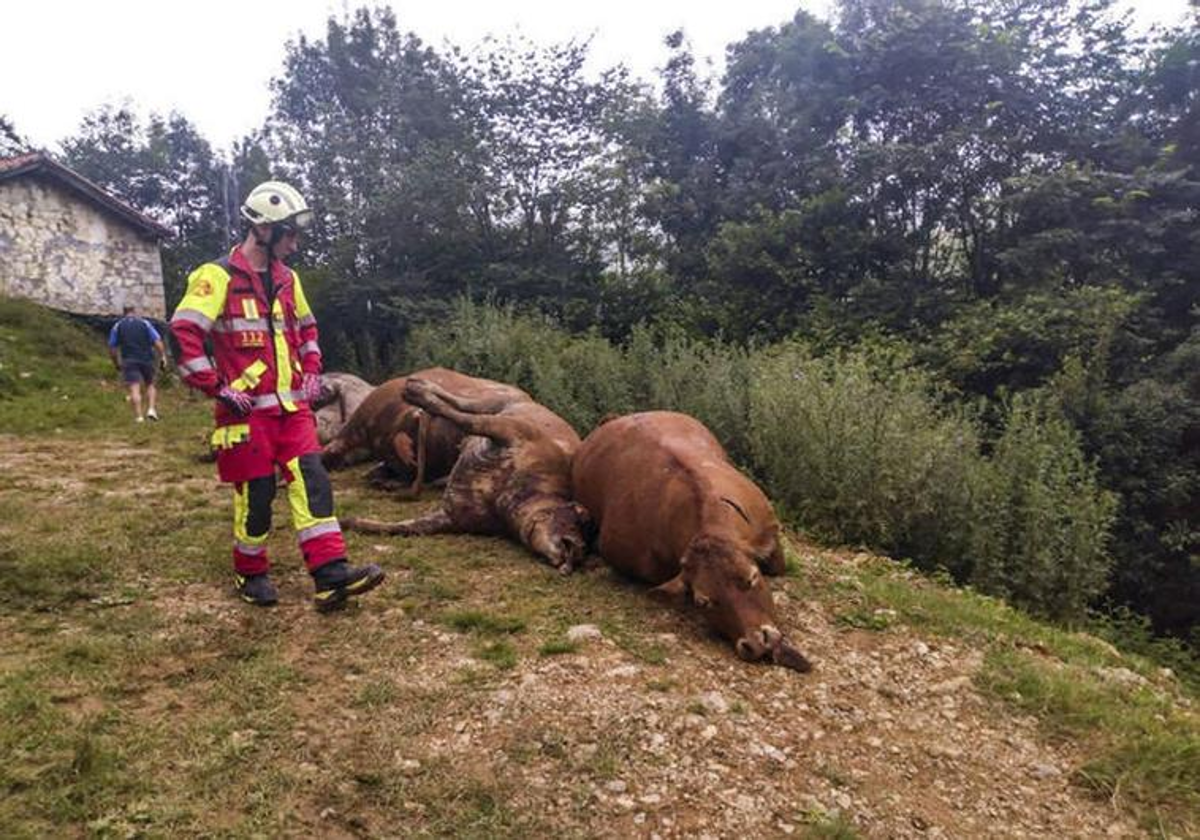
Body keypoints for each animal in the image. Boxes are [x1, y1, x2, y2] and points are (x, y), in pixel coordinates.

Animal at [340, 372, 588, 571]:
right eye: (577, 522)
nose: (577, 553)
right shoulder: (508, 430)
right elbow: (468, 421)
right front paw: (424, 397)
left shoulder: (449, 517)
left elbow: (397, 527)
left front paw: (349, 522)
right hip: (494, 402)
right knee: (460, 403)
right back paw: (420, 388)